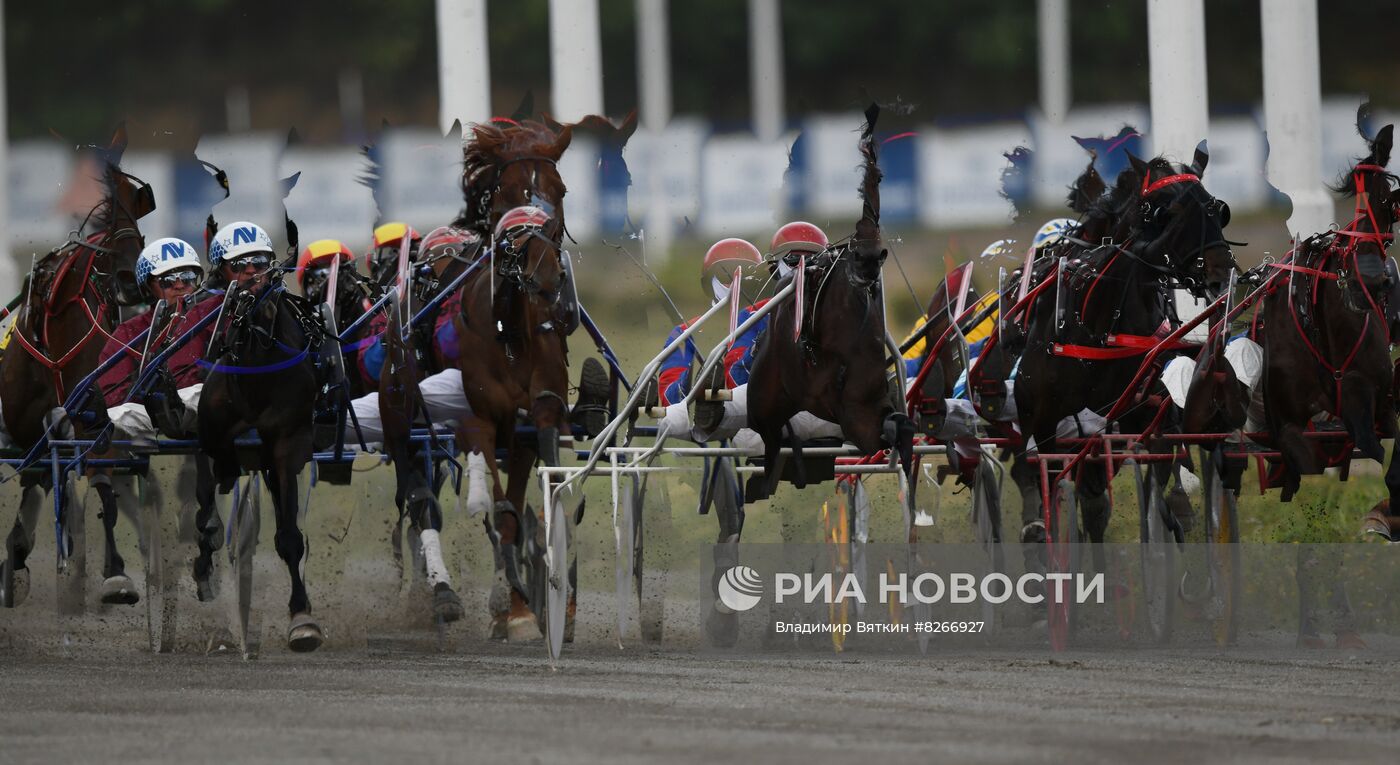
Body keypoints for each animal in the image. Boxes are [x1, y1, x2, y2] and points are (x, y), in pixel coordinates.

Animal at [1, 129, 153, 608]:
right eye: (107, 220)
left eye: (137, 224)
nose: (131, 283)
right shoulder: (26, 424)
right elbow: (37, 471)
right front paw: (17, 556)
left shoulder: (97, 414)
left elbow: (103, 479)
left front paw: (116, 573)